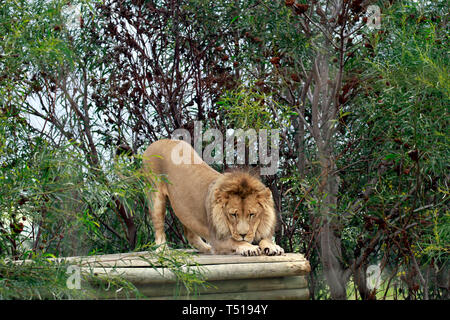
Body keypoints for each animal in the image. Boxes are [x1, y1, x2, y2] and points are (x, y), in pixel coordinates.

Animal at [143, 139, 284, 256]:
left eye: (252, 214)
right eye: (233, 215)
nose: (243, 235)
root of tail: (155, 143)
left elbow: (265, 238)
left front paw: (272, 246)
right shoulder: (217, 239)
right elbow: (235, 241)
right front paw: (249, 247)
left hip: (184, 210)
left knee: (190, 235)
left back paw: (206, 249)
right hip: (156, 197)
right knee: (159, 229)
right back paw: (162, 249)